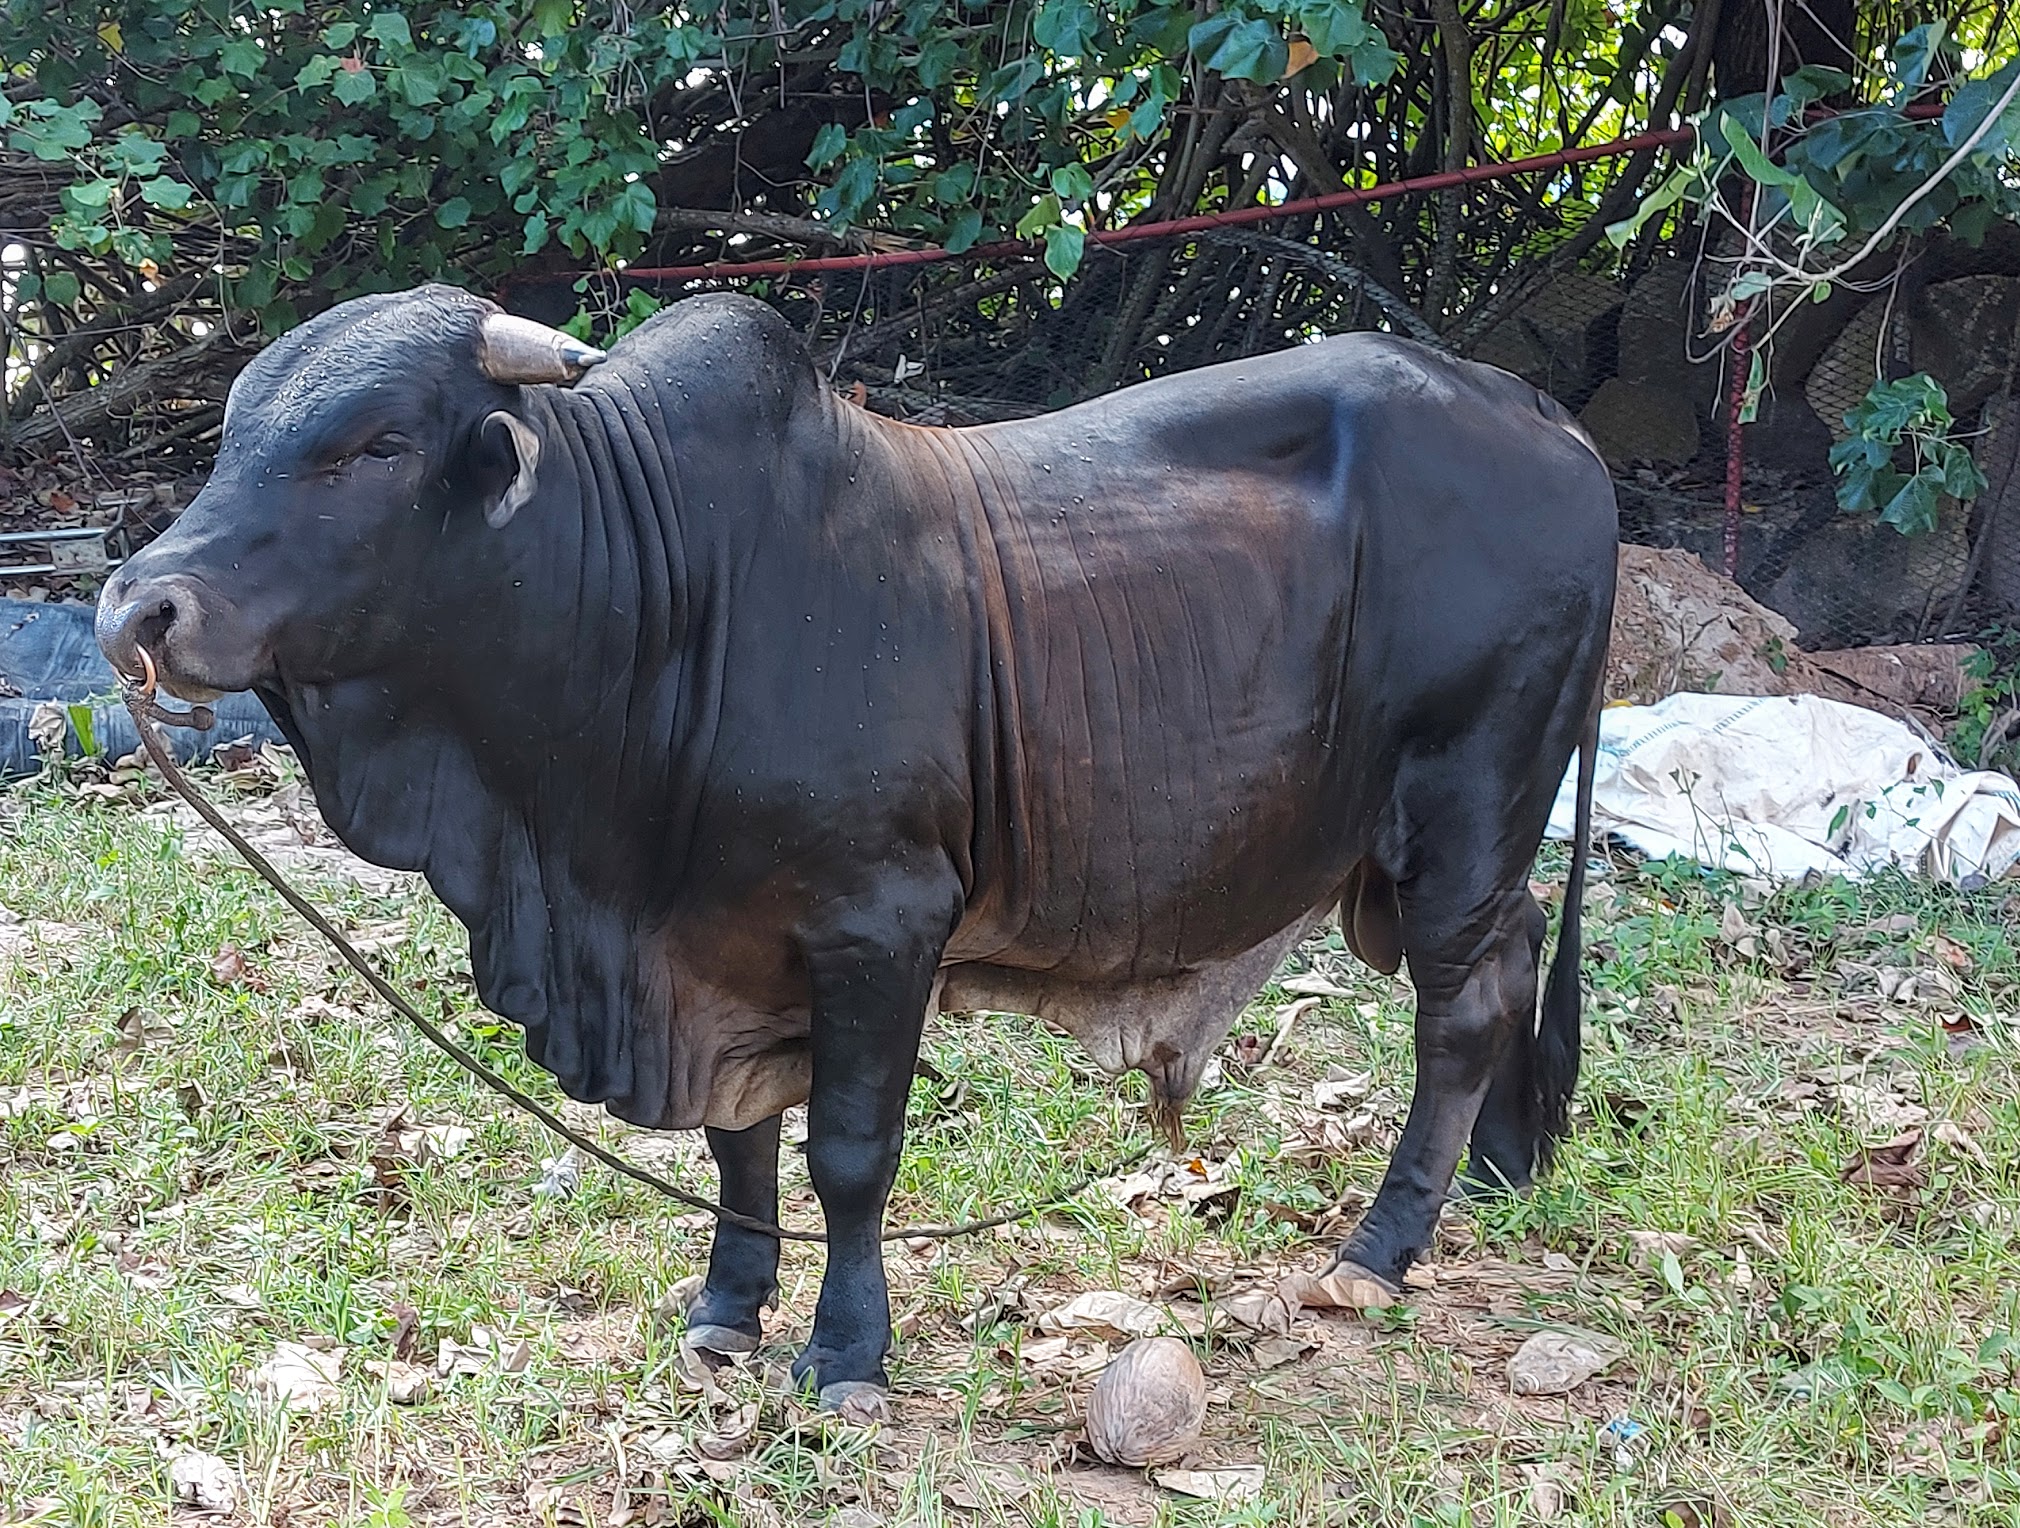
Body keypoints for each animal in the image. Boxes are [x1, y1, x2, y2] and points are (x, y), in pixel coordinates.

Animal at [94, 287, 1616, 1406]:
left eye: (374, 447)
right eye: (232, 435)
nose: (137, 609)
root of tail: (1544, 419)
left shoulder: (879, 922)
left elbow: (848, 1153)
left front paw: (845, 1352)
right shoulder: (711, 946)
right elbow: (740, 1144)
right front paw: (727, 1309)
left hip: (1464, 808)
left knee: (1462, 1009)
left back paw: (1384, 1246)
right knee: (1518, 956)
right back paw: (1499, 1166)